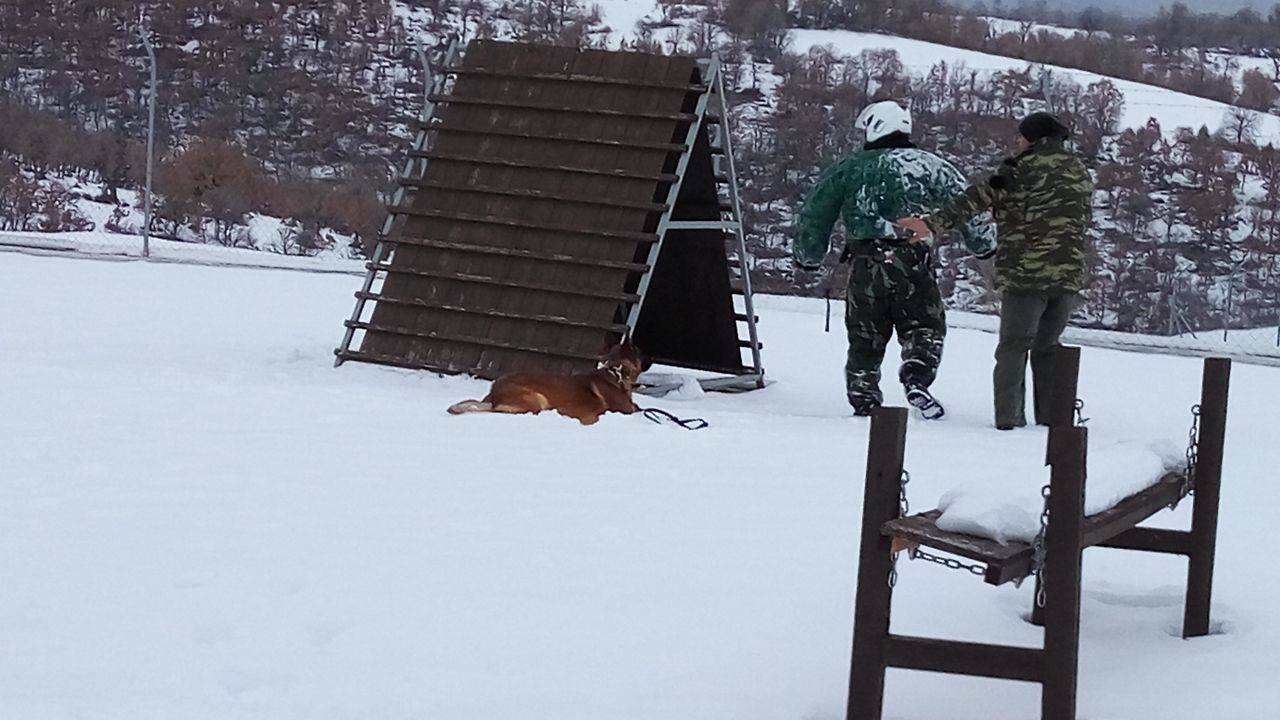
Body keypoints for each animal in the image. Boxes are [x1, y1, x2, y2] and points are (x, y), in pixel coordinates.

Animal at [450, 338, 650, 422]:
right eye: (640, 351)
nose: (652, 357)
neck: (617, 373)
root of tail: (493, 395)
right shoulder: (626, 410)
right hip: (536, 400)